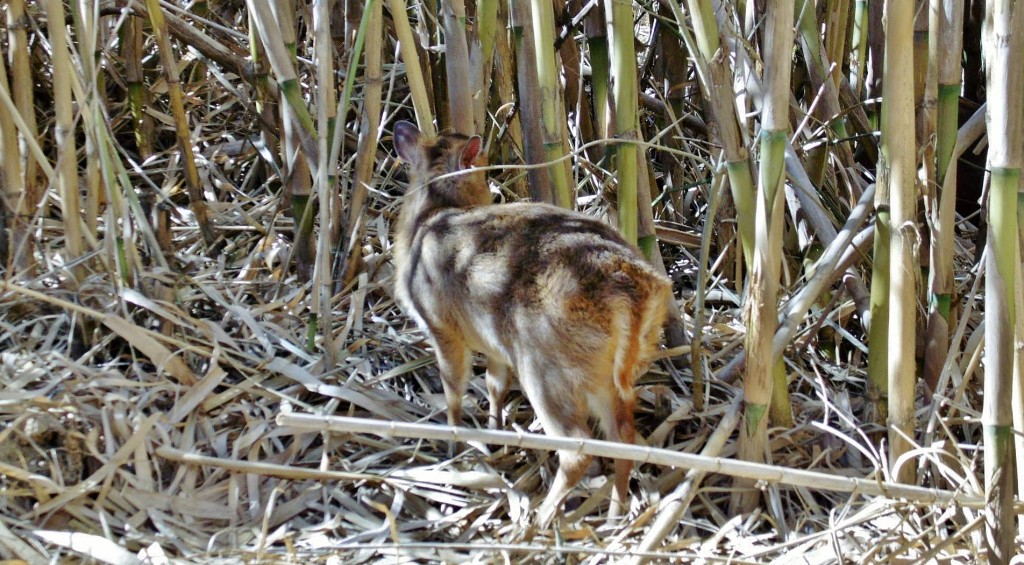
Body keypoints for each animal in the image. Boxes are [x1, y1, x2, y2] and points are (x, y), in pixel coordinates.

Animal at [391, 121, 671, 528]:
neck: (434, 215)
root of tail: (633, 295)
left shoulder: (440, 323)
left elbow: (454, 386)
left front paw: (452, 441)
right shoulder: (494, 342)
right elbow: (494, 384)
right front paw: (494, 429)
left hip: (545, 368)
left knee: (578, 449)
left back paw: (540, 517)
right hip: (606, 374)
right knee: (623, 436)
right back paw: (615, 513)